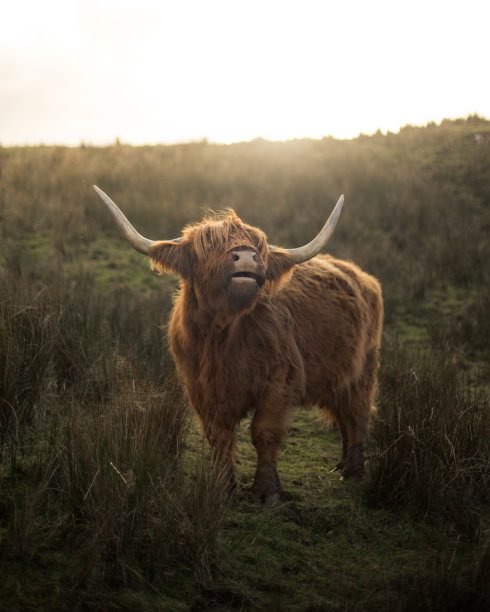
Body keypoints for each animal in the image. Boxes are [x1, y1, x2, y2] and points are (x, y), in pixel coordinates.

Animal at [92, 188, 382, 506]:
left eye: (259, 247)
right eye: (208, 245)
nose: (246, 256)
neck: (222, 337)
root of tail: (362, 275)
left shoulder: (279, 382)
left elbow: (264, 432)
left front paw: (266, 492)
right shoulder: (201, 387)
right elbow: (219, 436)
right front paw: (223, 488)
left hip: (364, 368)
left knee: (356, 413)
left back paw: (352, 470)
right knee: (343, 413)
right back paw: (341, 464)